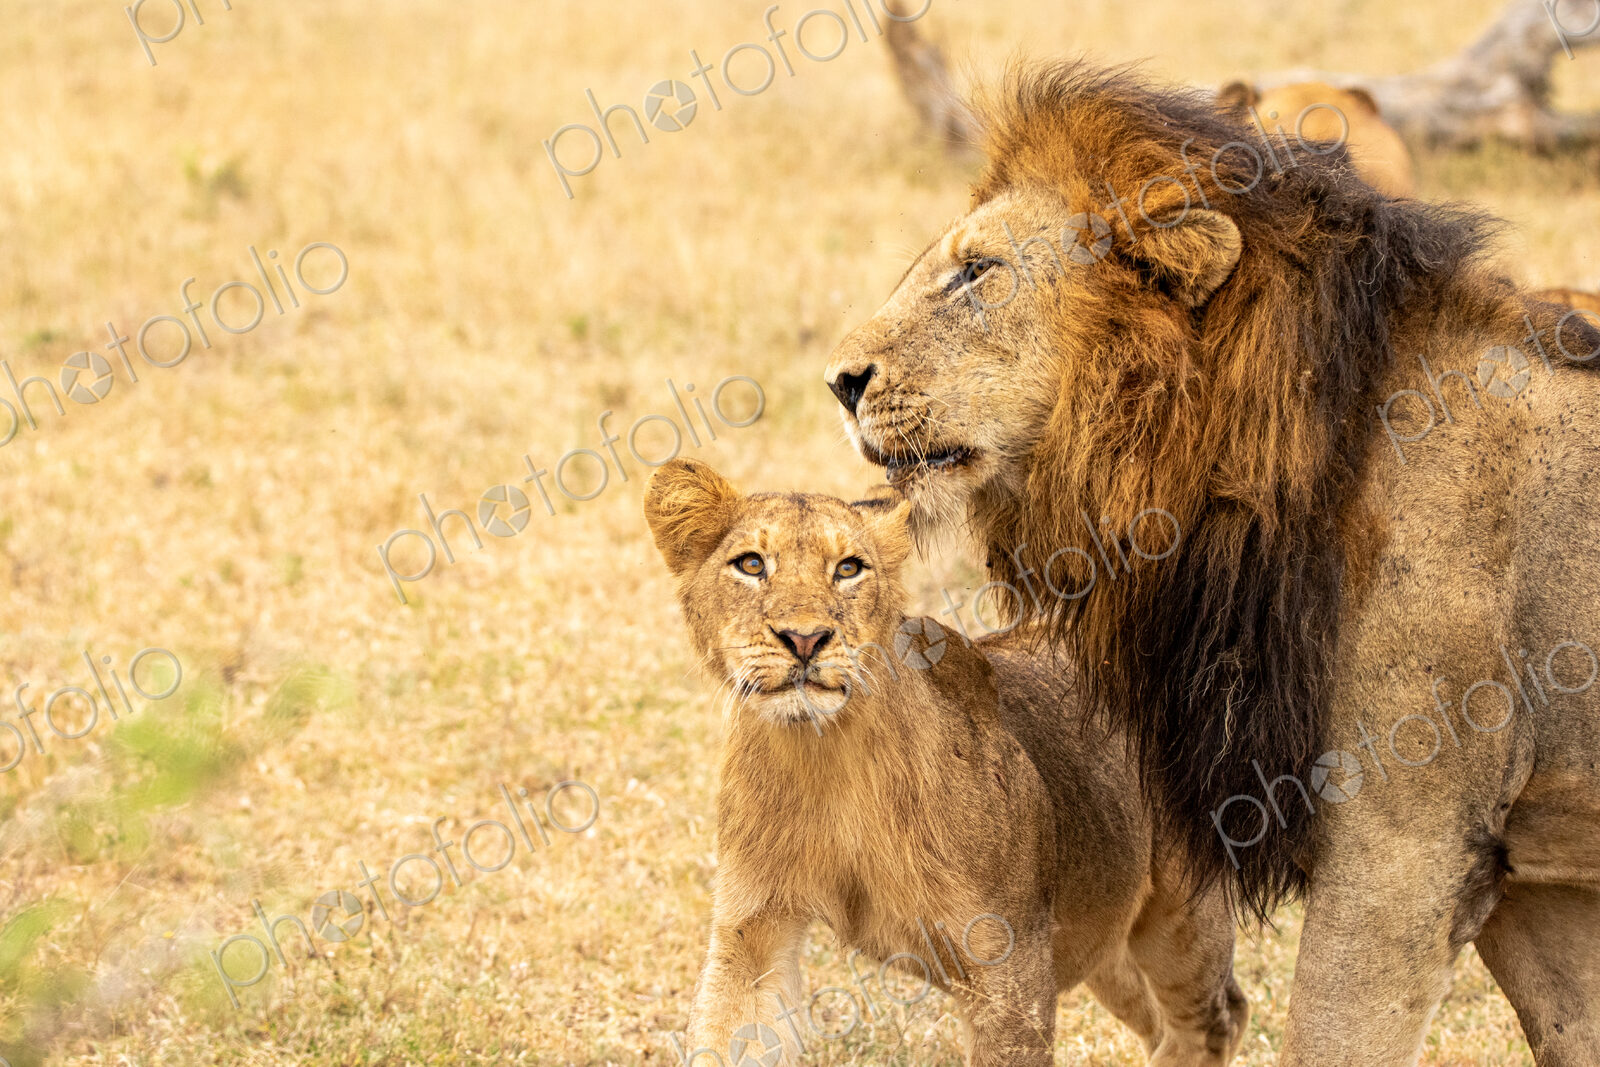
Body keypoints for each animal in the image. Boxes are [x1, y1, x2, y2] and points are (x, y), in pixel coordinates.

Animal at [644, 457, 1249, 1067]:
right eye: (751, 564)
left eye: (848, 568)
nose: (806, 638)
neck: (825, 753)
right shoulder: (753, 929)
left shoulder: (1009, 958)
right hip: (1101, 931)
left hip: (1178, 919)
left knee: (1217, 1017)